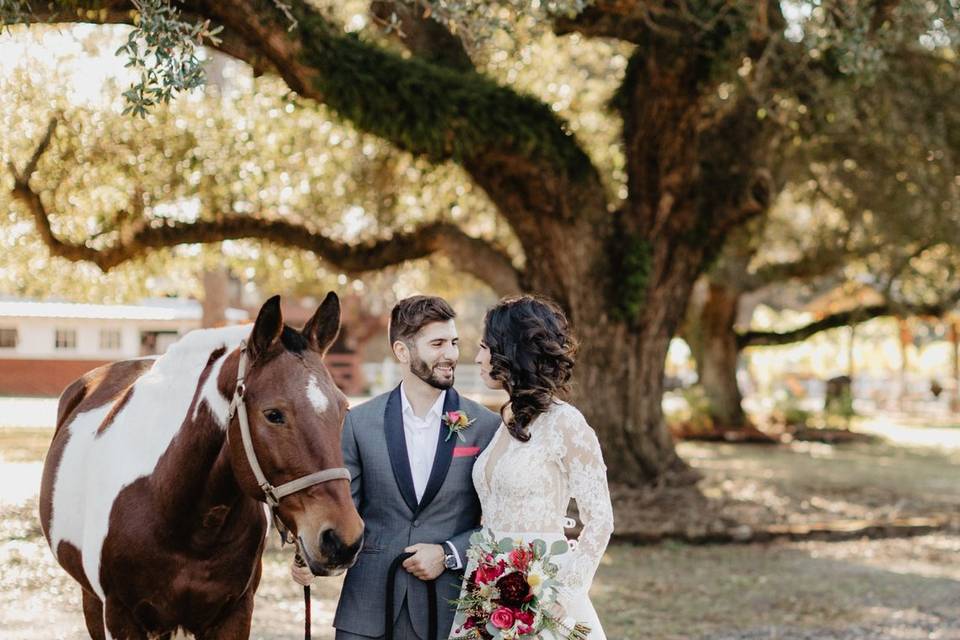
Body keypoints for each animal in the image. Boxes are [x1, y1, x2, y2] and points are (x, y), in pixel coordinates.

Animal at [37, 296, 364, 640]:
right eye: (273, 414)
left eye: (344, 409)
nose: (343, 540)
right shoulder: (119, 615)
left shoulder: (234, 614)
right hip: (92, 601)